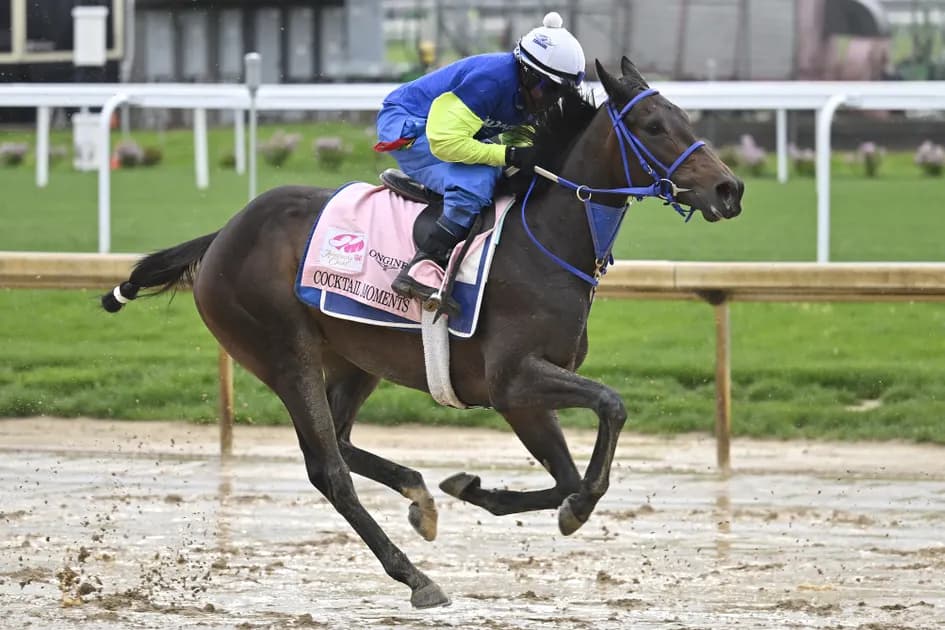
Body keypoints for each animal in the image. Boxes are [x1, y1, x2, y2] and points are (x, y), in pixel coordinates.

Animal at [100, 58, 743, 608]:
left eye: (687, 119)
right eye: (653, 126)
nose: (729, 189)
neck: (545, 237)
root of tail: (222, 236)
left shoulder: (526, 393)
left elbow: (563, 478)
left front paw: (475, 489)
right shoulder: (513, 381)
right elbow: (610, 407)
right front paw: (572, 506)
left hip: (355, 358)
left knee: (341, 442)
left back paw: (420, 497)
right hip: (285, 353)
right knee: (327, 469)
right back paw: (415, 576)